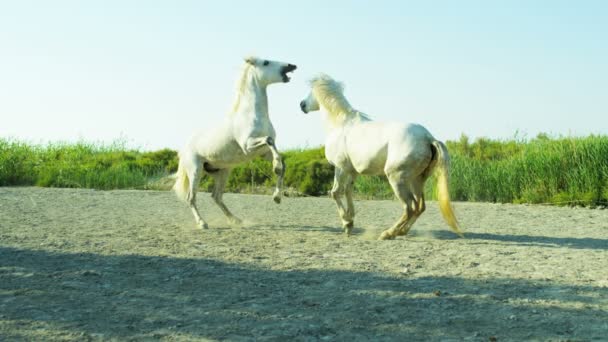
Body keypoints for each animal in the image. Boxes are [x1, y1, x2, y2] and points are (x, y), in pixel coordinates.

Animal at [173, 56, 296, 230]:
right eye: (266, 62)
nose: (292, 66)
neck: (252, 115)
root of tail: (184, 148)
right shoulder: (248, 146)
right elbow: (269, 140)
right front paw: (276, 167)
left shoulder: (263, 153)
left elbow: (281, 161)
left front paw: (277, 196)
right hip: (195, 170)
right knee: (191, 197)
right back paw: (202, 223)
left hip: (223, 171)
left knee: (216, 196)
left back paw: (236, 220)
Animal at [296, 74, 464, 240]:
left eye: (311, 91)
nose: (302, 104)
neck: (341, 124)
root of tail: (428, 138)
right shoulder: (352, 171)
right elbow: (348, 191)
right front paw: (350, 221)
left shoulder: (340, 168)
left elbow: (335, 192)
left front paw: (346, 223)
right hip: (416, 179)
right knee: (419, 206)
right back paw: (402, 231)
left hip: (397, 179)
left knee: (409, 207)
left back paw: (388, 233)